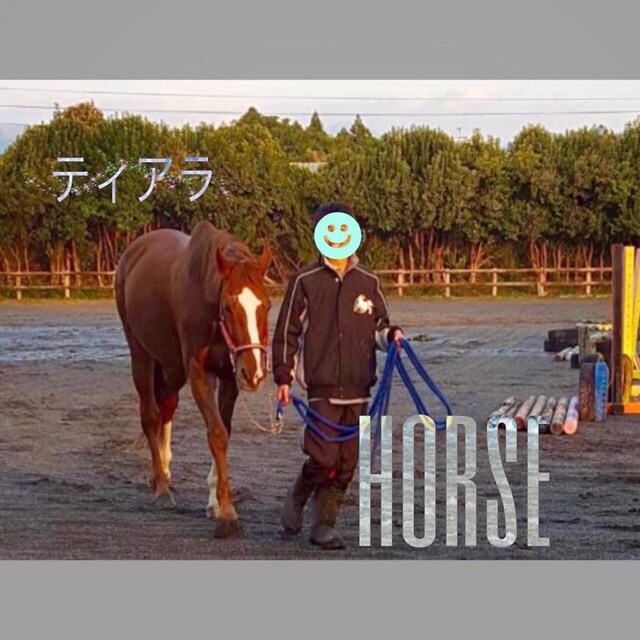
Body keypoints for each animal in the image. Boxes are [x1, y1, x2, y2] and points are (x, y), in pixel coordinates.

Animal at [115, 220, 271, 536]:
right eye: (228, 307)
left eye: (267, 305)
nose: (254, 372)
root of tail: (133, 251)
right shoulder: (200, 373)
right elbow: (216, 433)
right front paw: (226, 511)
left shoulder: (229, 375)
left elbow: (224, 430)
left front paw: (215, 502)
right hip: (142, 354)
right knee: (150, 413)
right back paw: (162, 489)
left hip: (173, 366)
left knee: (166, 406)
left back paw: (161, 472)